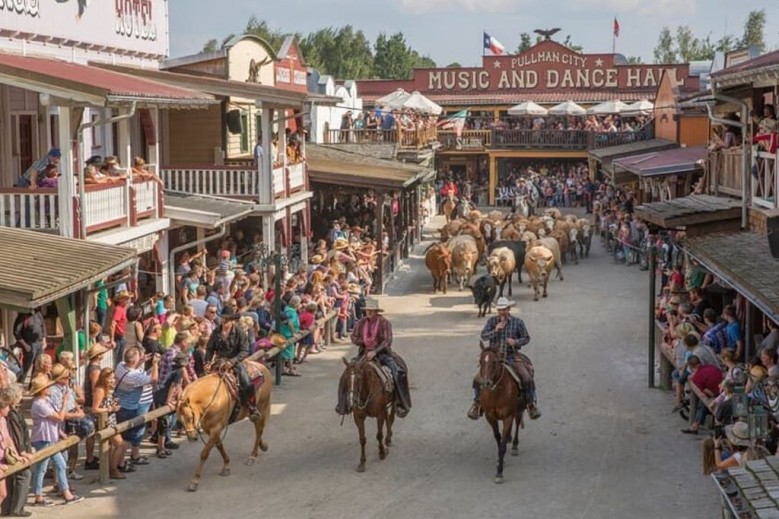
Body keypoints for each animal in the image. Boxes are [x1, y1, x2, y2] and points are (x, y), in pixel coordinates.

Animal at [177, 362, 274, 492]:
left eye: (189, 417)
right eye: (179, 420)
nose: (192, 437)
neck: (212, 398)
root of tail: (262, 366)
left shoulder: (216, 428)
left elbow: (205, 453)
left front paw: (195, 481)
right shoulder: (210, 429)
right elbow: (219, 446)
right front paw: (226, 465)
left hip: (262, 406)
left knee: (259, 430)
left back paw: (252, 456)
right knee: (258, 428)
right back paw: (263, 446)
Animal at [476, 348, 532, 486]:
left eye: (495, 362)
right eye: (480, 361)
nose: (486, 383)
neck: (497, 393)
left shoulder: (508, 417)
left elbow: (502, 446)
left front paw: (499, 473)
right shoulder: (490, 417)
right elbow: (498, 438)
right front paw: (499, 460)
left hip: (519, 409)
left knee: (517, 423)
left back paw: (514, 445)